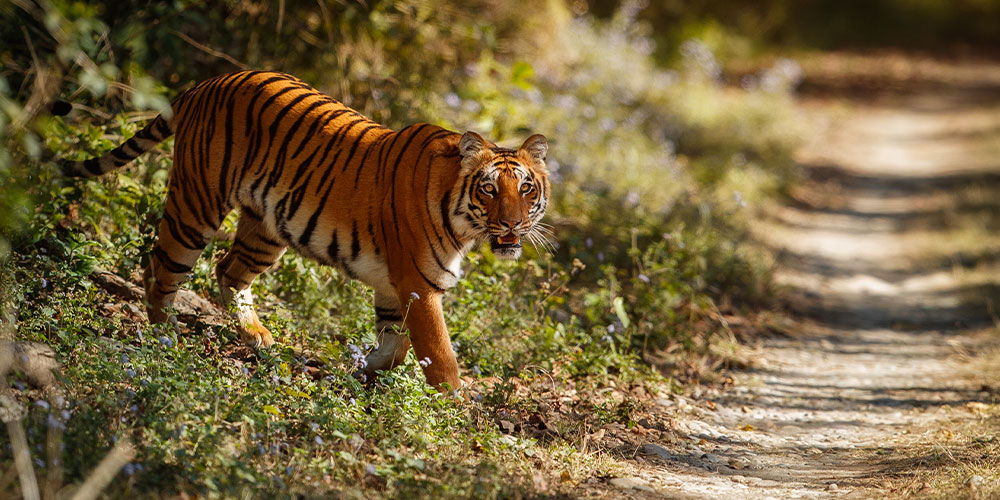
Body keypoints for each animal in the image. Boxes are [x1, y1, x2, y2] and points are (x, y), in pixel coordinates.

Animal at [61, 70, 551, 392]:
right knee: (160, 272)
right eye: (489, 189)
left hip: (267, 229)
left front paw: (360, 375)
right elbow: (441, 357)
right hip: (196, 206)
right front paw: (454, 411)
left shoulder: (394, 287)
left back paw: (257, 337)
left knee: (228, 270)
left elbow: (395, 346)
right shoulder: (419, 283)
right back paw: (167, 340)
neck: (463, 222)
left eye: (526, 189)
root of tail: (209, 82)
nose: (513, 223)